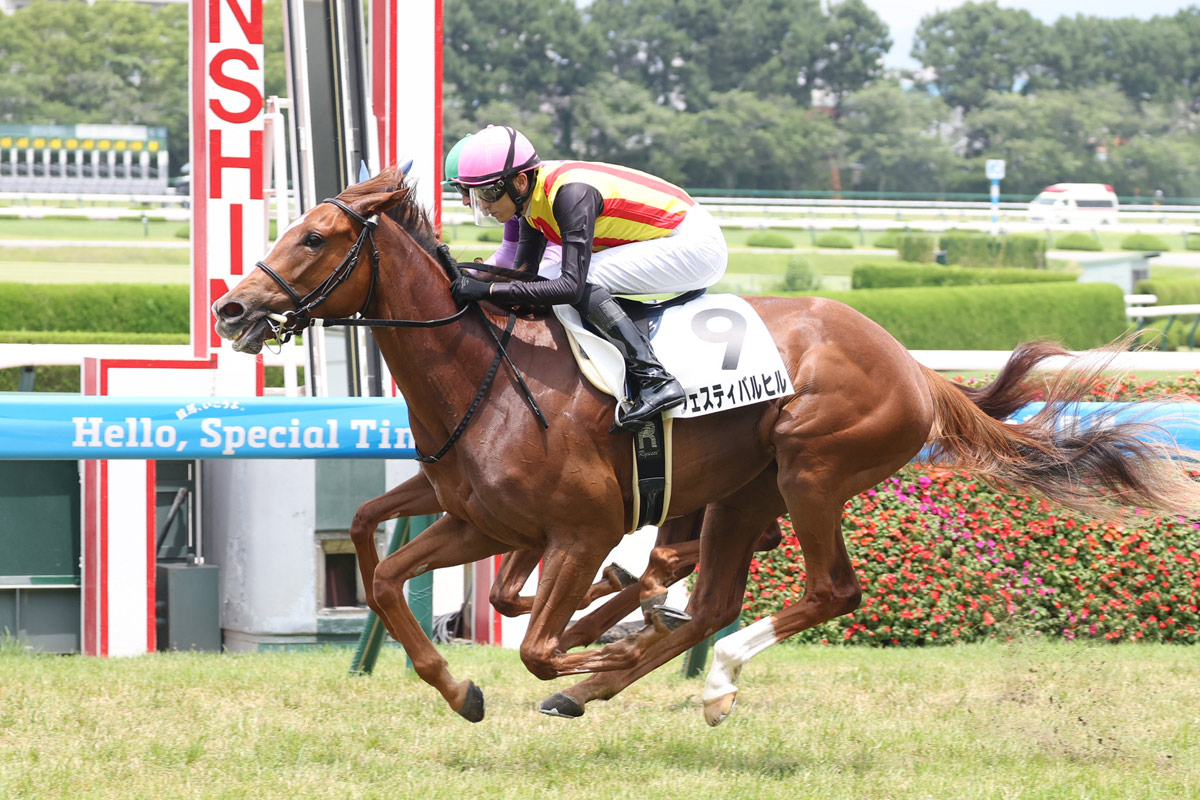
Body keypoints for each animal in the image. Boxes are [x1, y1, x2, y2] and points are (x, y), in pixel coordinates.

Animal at [213, 166, 1200, 725]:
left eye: (315, 236)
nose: (230, 307)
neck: (488, 372)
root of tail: (917, 372)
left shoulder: (582, 529)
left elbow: (538, 639)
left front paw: (594, 645)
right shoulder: (480, 517)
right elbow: (389, 576)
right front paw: (465, 689)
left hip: (811, 467)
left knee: (827, 590)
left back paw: (694, 672)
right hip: (742, 489)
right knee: (719, 593)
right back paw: (637, 670)